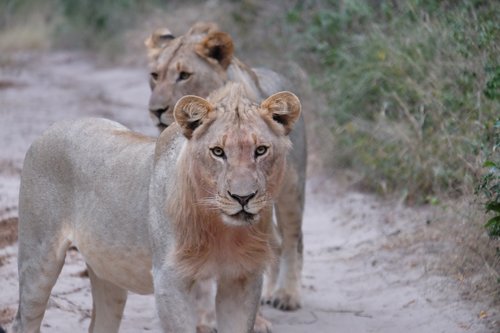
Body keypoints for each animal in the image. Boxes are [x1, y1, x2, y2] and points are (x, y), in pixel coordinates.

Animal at [11, 83, 300, 332]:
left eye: (260, 150)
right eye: (218, 151)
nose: (243, 197)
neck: (222, 230)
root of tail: (52, 127)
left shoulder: (243, 278)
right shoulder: (169, 280)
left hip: (108, 273)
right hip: (39, 257)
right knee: (23, 320)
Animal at [145, 21, 306, 312]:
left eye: (184, 75)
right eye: (154, 75)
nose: (156, 110)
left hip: (292, 189)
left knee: (292, 239)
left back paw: (286, 294)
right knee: (275, 242)